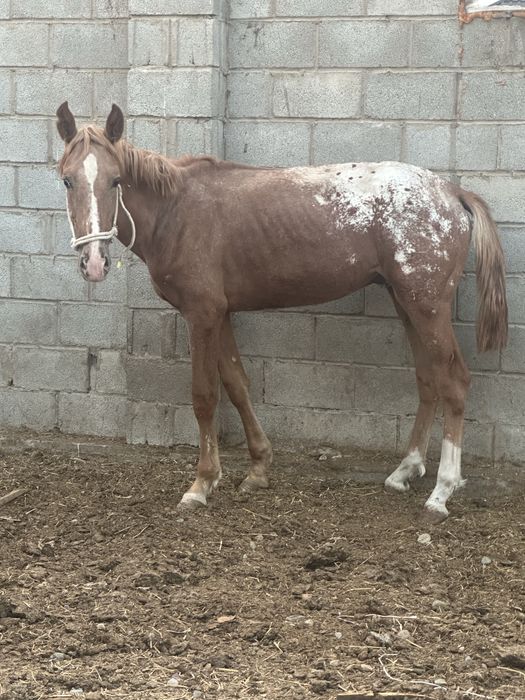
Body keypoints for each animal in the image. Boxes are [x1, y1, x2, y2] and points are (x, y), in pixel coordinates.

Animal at [55, 102, 508, 523]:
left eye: (116, 180)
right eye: (67, 179)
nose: (93, 263)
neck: (178, 210)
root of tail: (451, 192)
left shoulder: (202, 315)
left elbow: (205, 395)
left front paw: (202, 483)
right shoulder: (221, 315)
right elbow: (237, 385)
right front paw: (257, 469)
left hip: (427, 306)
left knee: (454, 381)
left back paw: (442, 492)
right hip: (406, 303)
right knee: (428, 379)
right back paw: (405, 471)